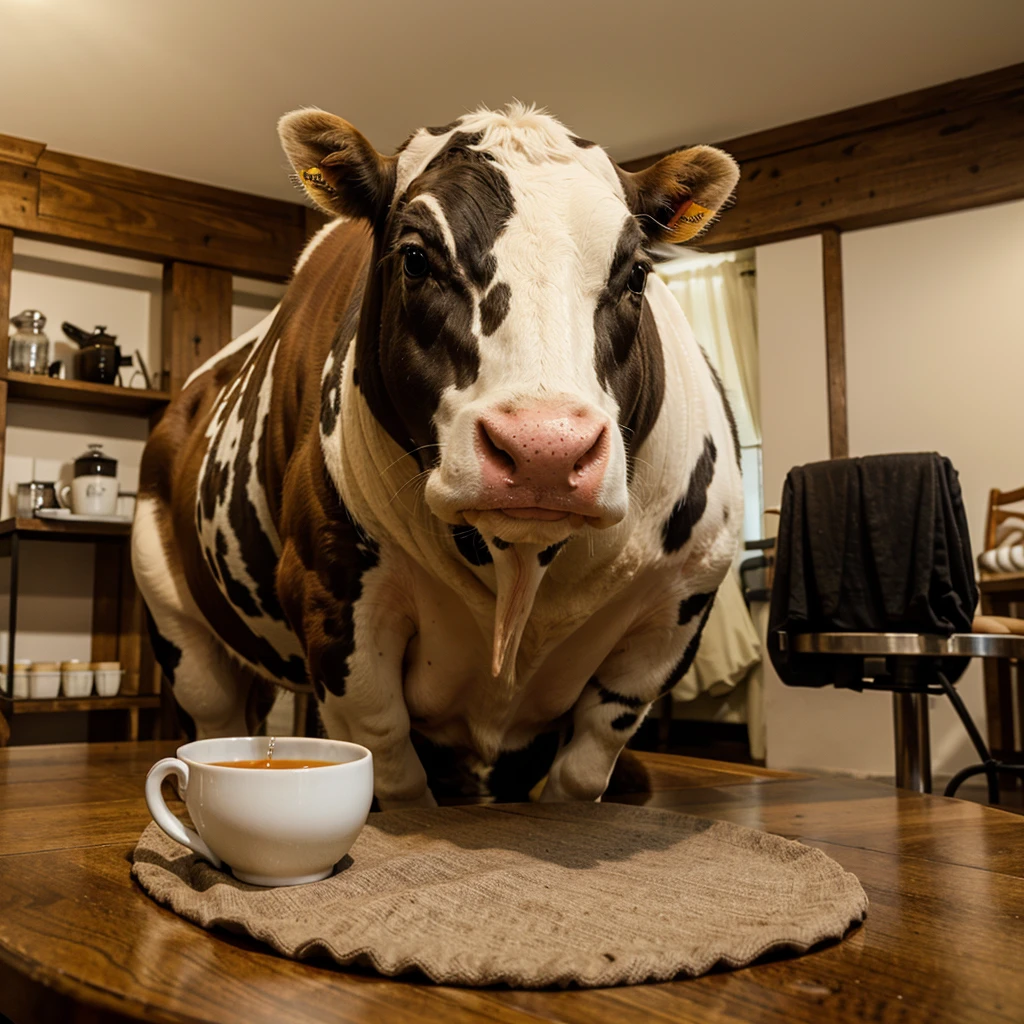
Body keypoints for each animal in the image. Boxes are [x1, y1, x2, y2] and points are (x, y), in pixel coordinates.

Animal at [134, 105, 745, 806]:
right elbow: (393, 768)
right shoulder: (330, 598)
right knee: (217, 710)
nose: (543, 448)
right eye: (416, 258)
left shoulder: (677, 607)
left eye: (637, 272)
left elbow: (584, 770)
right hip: (177, 623)